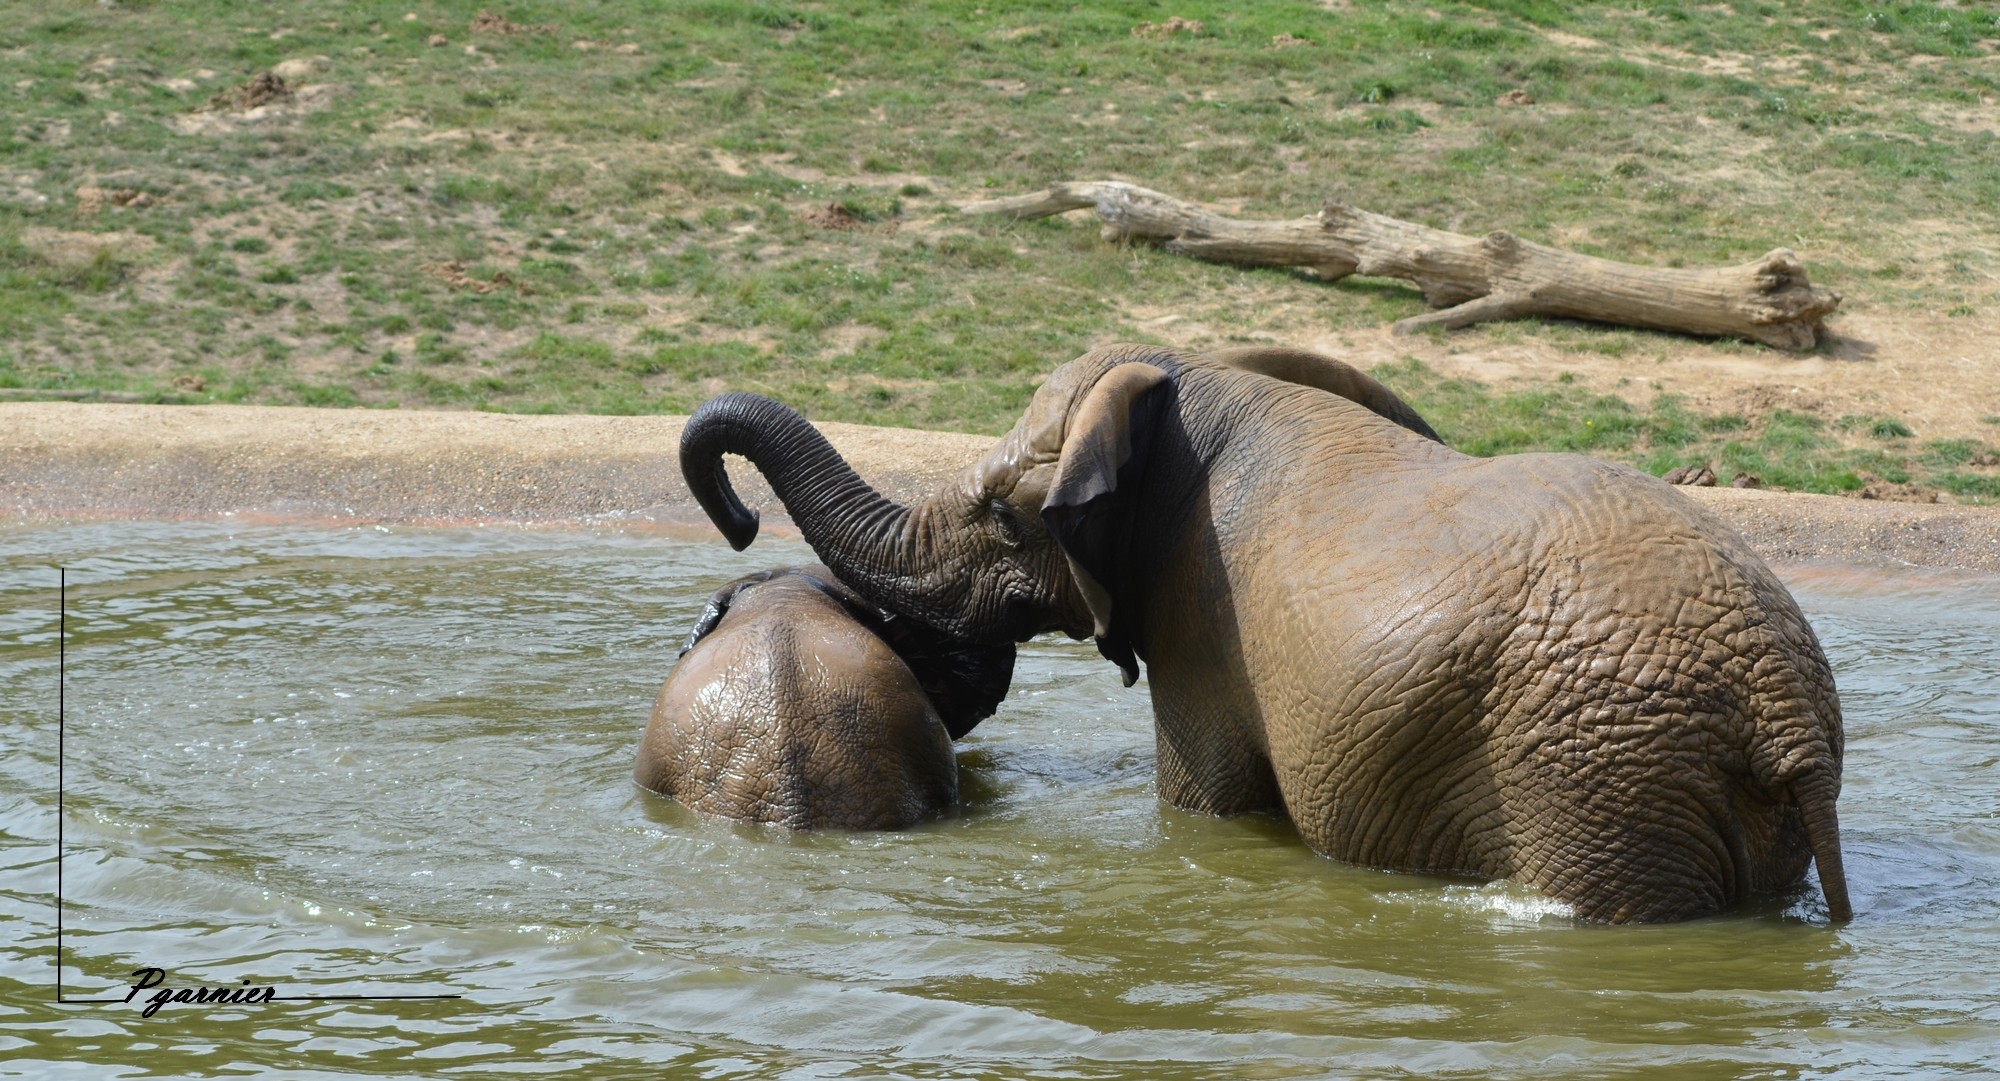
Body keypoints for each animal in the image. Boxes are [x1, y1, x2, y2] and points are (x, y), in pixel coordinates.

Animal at [680, 344, 1848, 920]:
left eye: (1007, 513)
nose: (739, 523)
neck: (1195, 385)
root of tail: (1782, 710)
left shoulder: (1202, 619)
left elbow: (1204, 801)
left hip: (1593, 771)